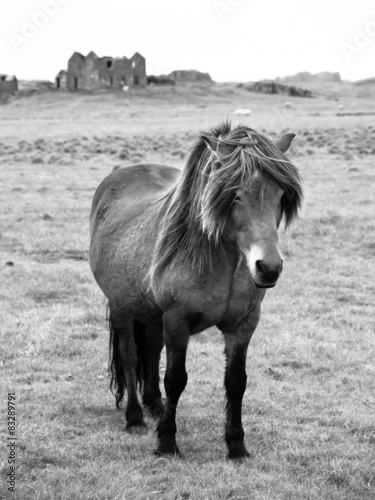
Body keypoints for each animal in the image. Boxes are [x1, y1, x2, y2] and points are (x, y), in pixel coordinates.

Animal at [89, 122, 304, 460]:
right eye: (234, 195)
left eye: (281, 195)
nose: (268, 267)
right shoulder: (177, 321)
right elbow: (176, 379)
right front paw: (166, 442)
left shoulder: (243, 324)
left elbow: (236, 381)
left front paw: (236, 445)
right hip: (122, 307)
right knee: (129, 354)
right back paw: (135, 418)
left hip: (151, 314)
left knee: (151, 349)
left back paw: (155, 404)